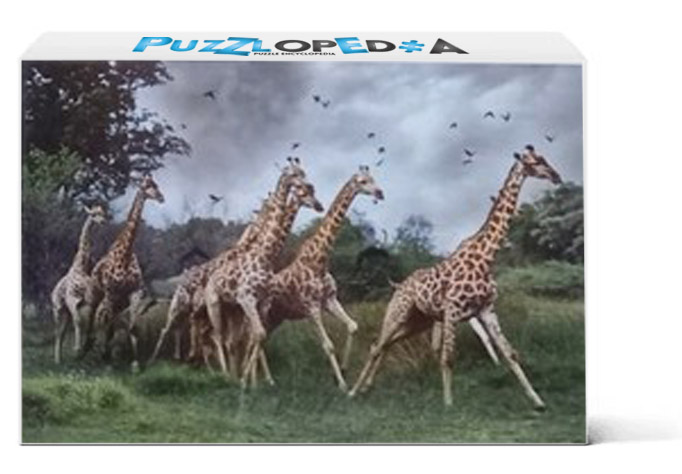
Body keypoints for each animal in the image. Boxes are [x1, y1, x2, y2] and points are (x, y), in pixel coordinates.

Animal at [50, 204, 108, 363]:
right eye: (93, 214)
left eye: (103, 213)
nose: (103, 221)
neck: (81, 267)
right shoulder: (73, 300)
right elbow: (79, 322)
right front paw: (78, 348)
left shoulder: (90, 301)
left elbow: (89, 323)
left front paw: (86, 346)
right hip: (58, 309)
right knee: (58, 331)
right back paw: (59, 358)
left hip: (66, 311)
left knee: (64, 331)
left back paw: (60, 359)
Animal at [90, 174, 164, 367]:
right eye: (147, 185)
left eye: (156, 184)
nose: (161, 197)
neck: (125, 254)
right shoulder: (111, 292)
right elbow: (106, 321)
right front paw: (108, 359)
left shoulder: (134, 292)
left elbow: (132, 325)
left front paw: (135, 363)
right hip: (101, 296)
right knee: (99, 318)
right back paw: (95, 352)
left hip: (119, 301)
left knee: (106, 319)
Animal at [203, 160, 321, 386]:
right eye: (295, 177)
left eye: (304, 175)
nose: (319, 205)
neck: (265, 256)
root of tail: (210, 280)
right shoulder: (247, 298)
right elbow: (257, 334)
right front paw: (249, 381)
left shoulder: (261, 302)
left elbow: (258, 336)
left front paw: (257, 381)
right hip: (214, 304)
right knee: (217, 336)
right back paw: (225, 376)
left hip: (232, 309)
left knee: (230, 340)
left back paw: (233, 375)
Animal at [243, 166, 384, 390]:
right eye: (363, 181)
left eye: (373, 179)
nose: (380, 193)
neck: (319, 260)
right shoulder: (312, 307)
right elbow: (328, 345)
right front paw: (342, 384)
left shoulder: (330, 300)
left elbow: (353, 326)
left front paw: (343, 370)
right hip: (265, 313)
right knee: (254, 338)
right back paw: (252, 380)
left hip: (276, 317)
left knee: (259, 339)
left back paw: (264, 380)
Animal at [349, 145, 562, 408]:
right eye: (536, 161)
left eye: (544, 158)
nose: (556, 176)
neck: (485, 258)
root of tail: (398, 286)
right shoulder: (451, 311)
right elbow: (448, 358)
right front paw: (449, 404)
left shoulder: (486, 310)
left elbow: (510, 353)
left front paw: (537, 401)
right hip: (397, 314)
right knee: (376, 346)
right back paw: (353, 392)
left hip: (417, 321)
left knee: (384, 345)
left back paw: (366, 388)